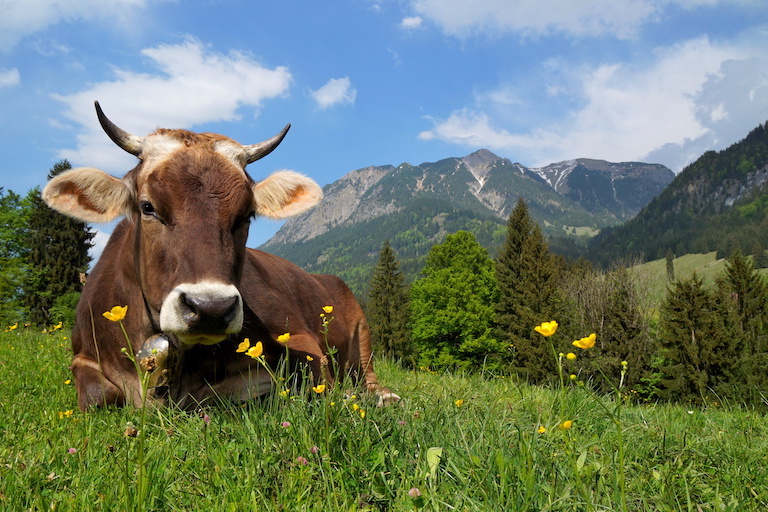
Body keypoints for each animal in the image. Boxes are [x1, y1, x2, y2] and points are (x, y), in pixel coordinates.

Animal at [43, 102, 399, 411]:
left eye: (246, 215)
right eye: (147, 207)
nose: (210, 308)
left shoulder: (303, 343)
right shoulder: (83, 356)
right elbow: (97, 394)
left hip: (363, 335)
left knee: (366, 377)